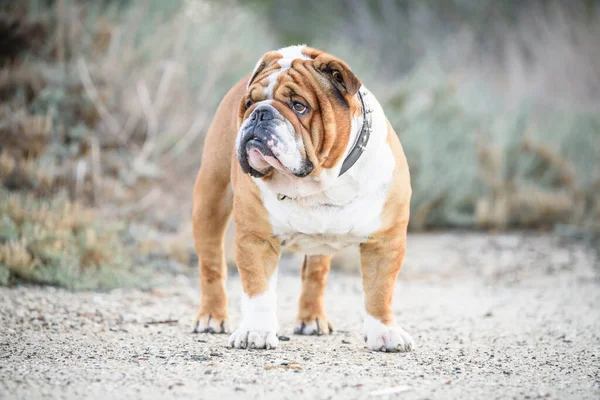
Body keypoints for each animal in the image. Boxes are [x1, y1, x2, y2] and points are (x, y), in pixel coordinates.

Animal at [192, 45, 412, 352]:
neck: (317, 182)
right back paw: (212, 317)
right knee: (211, 264)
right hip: (210, 201)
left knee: (315, 273)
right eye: (249, 103)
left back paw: (311, 320)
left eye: (299, 106)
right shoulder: (256, 238)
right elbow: (258, 290)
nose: (260, 113)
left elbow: (380, 290)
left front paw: (384, 332)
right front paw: (256, 331)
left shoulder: (385, 240)